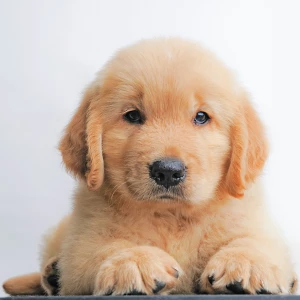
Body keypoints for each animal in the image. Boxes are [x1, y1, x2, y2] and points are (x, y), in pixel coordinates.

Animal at [2, 38, 298, 296]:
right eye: (133, 115)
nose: (167, 171)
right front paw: (134, 260)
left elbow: (254, 240)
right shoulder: (83, 244)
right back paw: (52, 273)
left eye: (202, 117)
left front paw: (247, 263)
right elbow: (105, 247)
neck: (171, 215)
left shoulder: (254, 221)